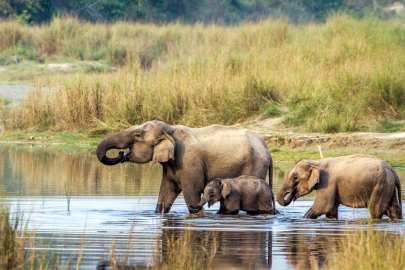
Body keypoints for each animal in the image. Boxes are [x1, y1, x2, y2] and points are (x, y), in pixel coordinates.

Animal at [95, 120, 272, 213]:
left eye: (137, 135)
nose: (121, 153)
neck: (169, 129)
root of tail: (268, 151)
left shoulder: (188, 162)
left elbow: (191, 192)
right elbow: (166, 193)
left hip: (255, 165)